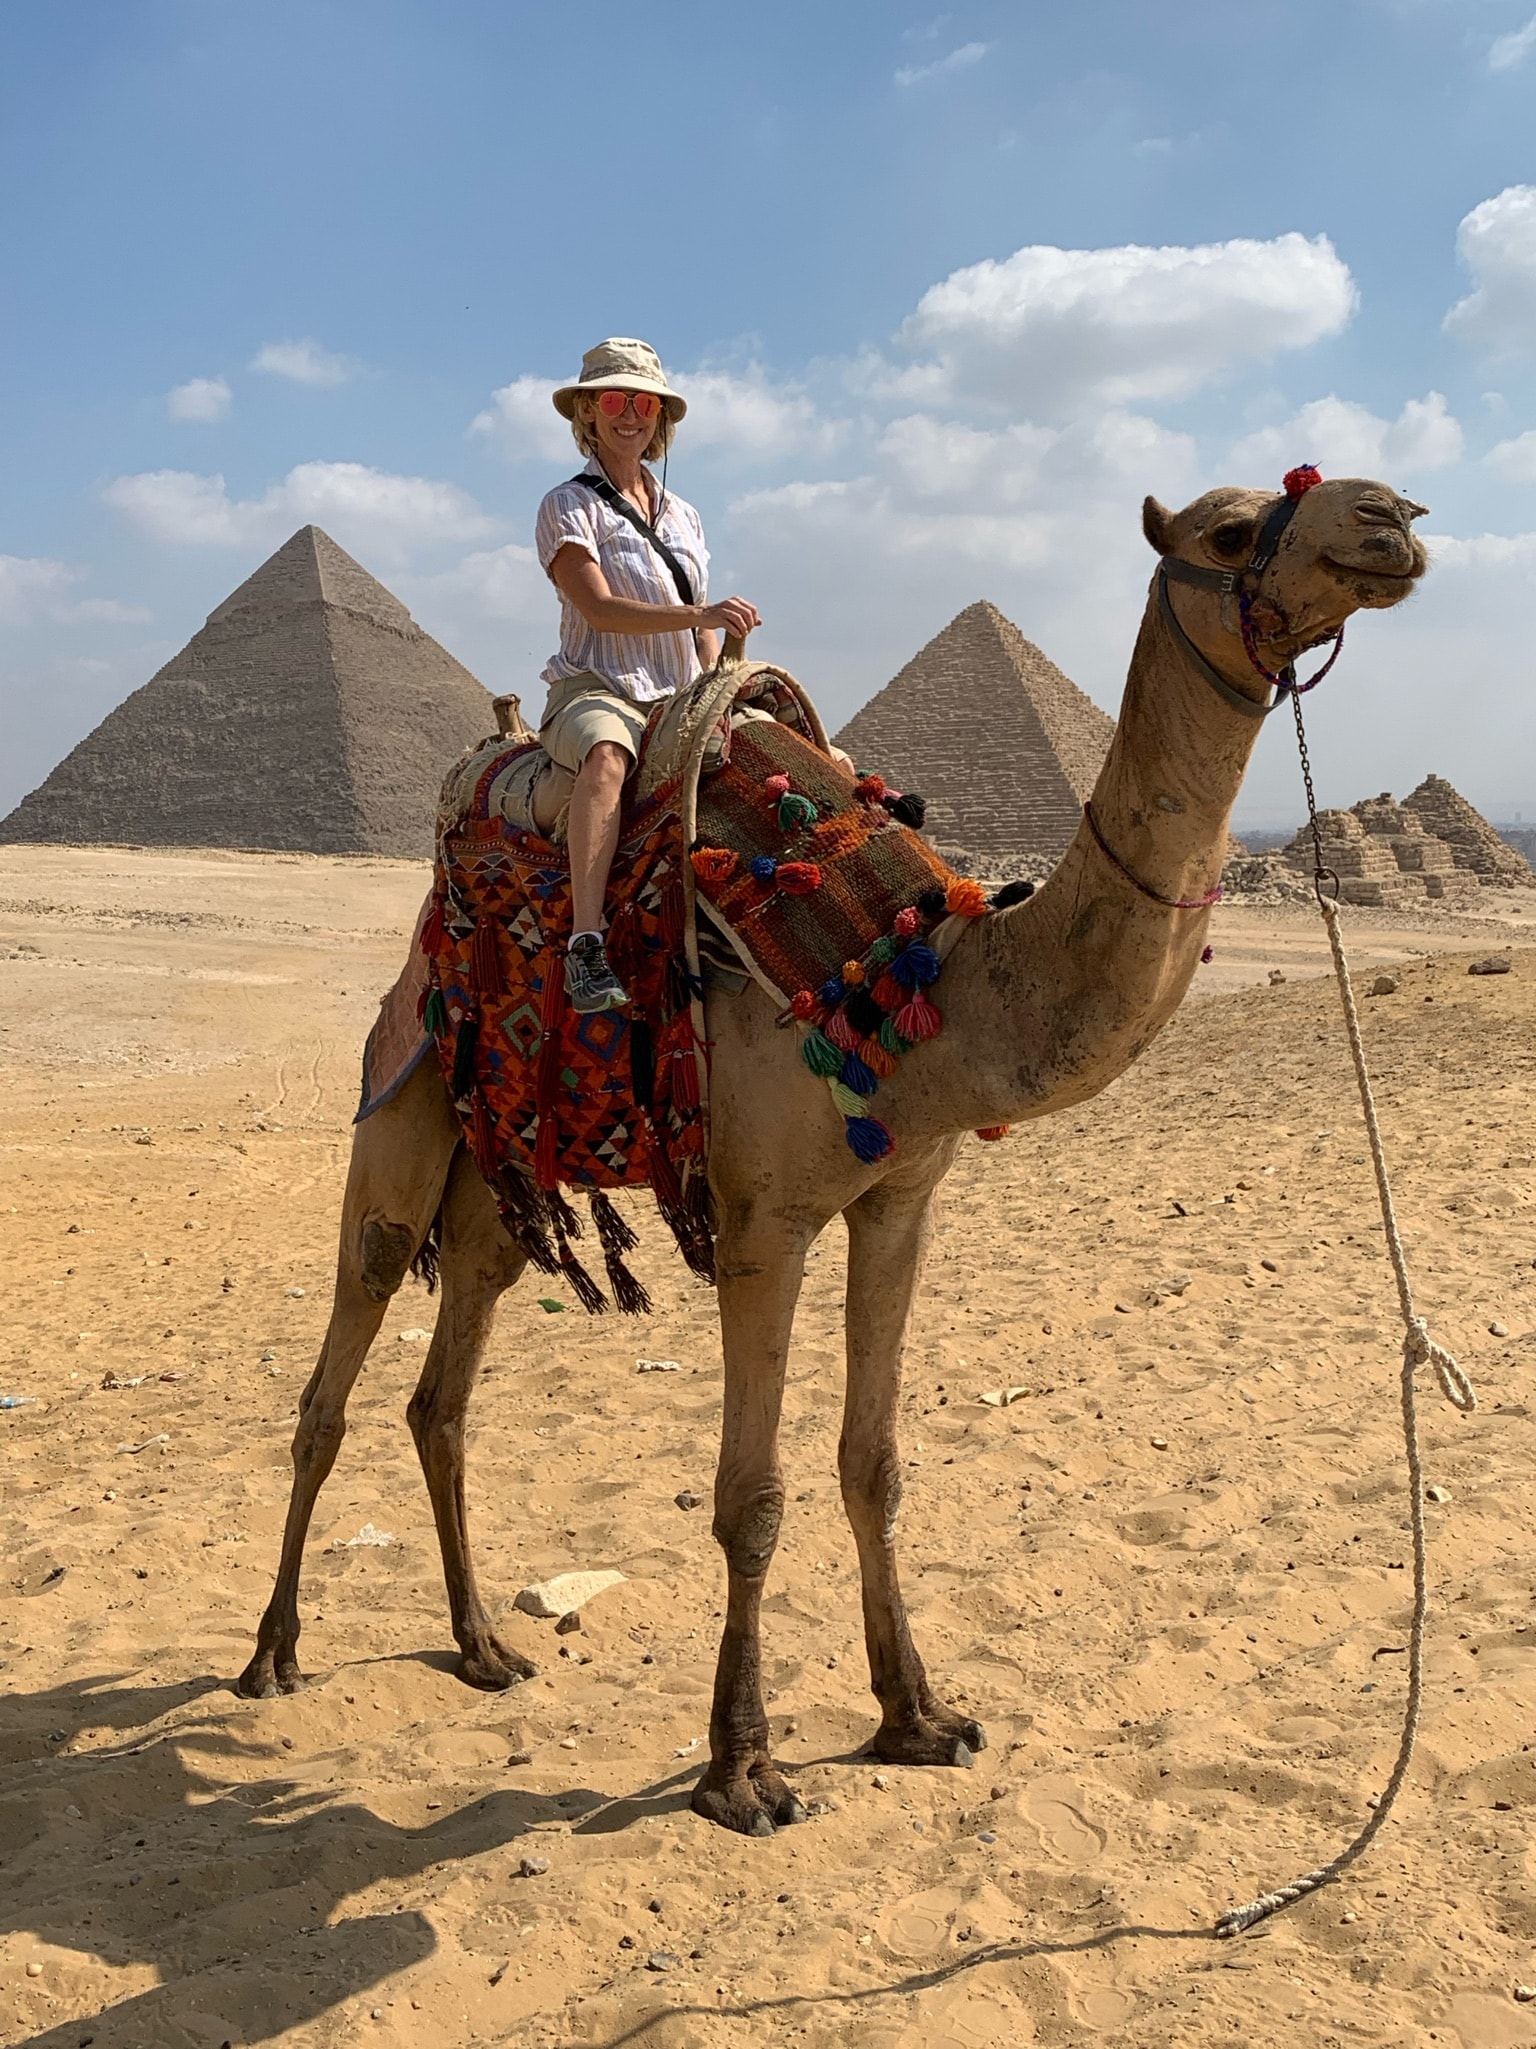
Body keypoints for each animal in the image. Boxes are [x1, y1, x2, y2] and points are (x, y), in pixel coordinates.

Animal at [237, 475, 1433, 1844]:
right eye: (1231, 533)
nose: (1392, 520)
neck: (925, 985)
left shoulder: (901, 1200)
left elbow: (875, 1465)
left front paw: (918, 1715)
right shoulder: (766, 1221)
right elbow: (750, 1500)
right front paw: (743, 1770)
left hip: (500, 1180)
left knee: (442, 1400)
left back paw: (483, 1644)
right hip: (399, 1118)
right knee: (334, 1379)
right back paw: (272, 1652)